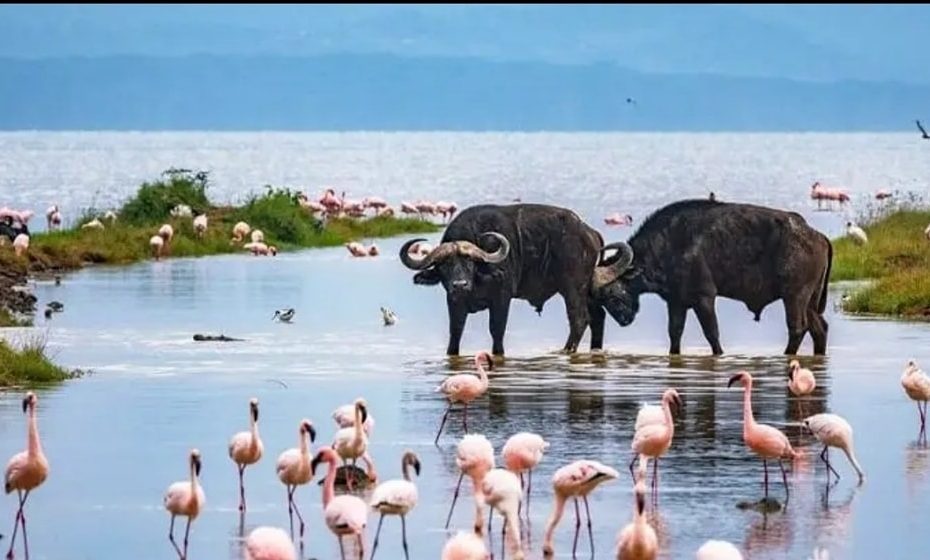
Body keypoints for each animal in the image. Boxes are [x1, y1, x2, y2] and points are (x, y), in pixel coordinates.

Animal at [396, 203, 628, 356]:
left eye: (469, 262)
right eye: (444, 266)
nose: (460, 285)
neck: (480, 276)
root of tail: (590, 233)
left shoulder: (502, 298)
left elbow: (496, 329)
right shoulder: (454, 301)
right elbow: (456, 331)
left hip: (573, 288)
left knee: (579, 318)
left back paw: (567, 350)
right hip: (587, 288)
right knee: (597, 316)